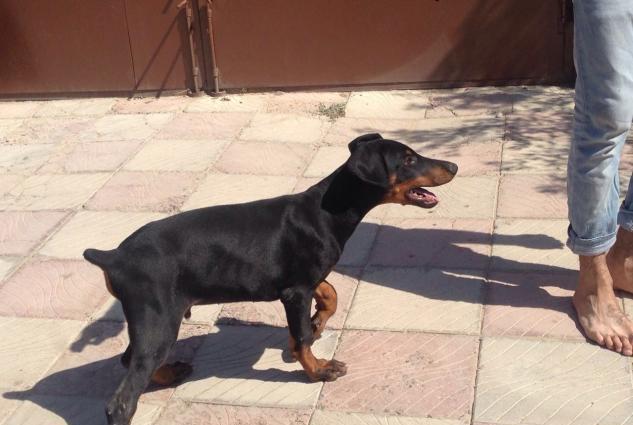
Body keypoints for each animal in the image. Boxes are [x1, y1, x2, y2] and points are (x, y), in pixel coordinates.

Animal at [83, 133, 458, 424]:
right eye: (407, 159)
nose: (454, 167)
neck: (326, 211)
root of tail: (114, 257)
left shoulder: (303, 281)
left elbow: (330, 294)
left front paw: (317, 323)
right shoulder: (295, 291)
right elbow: (302, 337)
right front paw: (318, 370)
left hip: (153, 319)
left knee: (130, 359)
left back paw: (171, 372)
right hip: (158, 318)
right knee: (122, 401)